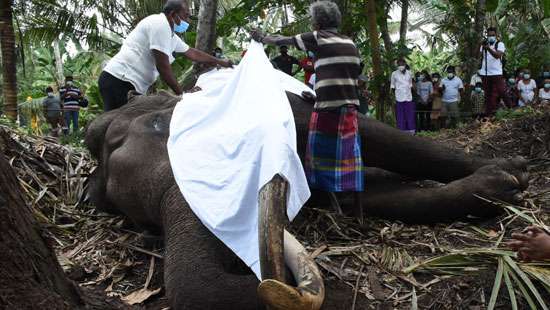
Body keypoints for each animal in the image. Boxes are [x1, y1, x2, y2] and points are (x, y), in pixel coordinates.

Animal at [85, 90, 532, 310]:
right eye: (145, 224)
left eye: (162, 125)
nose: (345, 295)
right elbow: (374, 198)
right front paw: (498, 186)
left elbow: (381, 138)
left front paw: (510, 174)